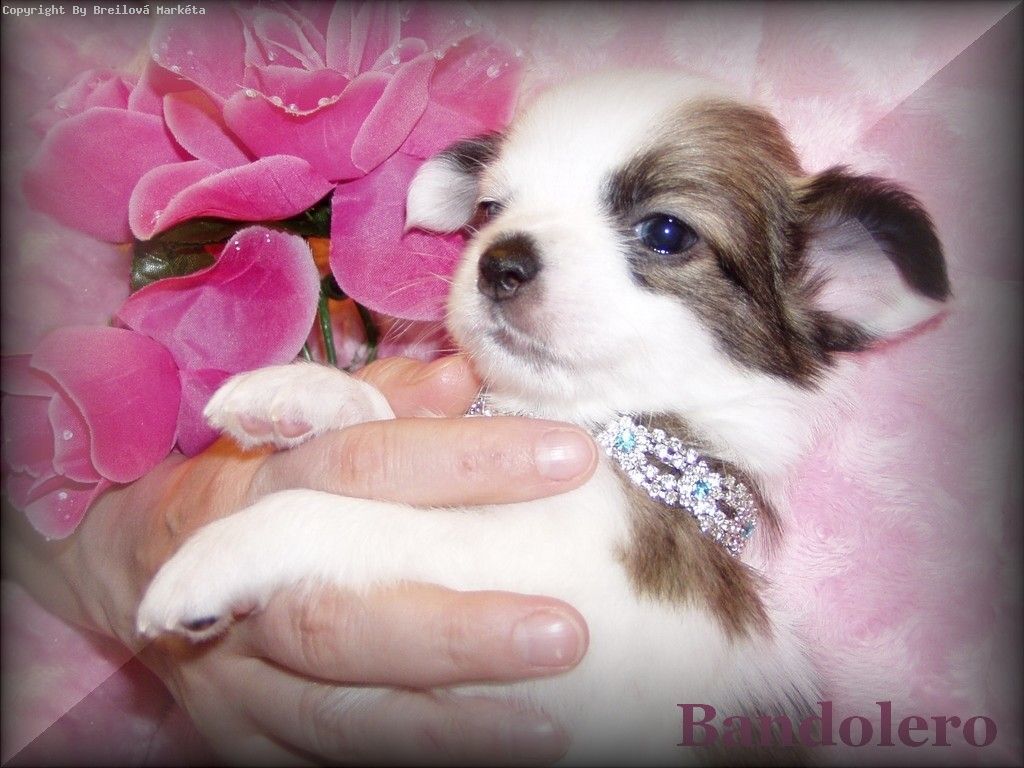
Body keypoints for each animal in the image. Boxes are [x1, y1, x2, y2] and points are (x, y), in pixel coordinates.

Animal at [137, 70, 948, 765]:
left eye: (666, 233)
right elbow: (380, 416)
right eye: (489, 212)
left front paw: (222, 554)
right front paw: (296, 392)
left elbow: (366, 518)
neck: (588, 421)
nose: (499, 260)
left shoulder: (562, 587)